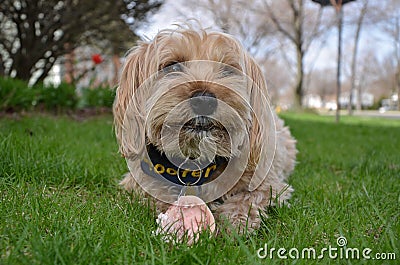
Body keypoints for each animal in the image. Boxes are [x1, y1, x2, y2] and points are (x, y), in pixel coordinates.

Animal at [112, 26, 296, 231]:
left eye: (227, 70)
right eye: (173, 66)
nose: (204, 101)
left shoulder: (269, 183)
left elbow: (250, 197)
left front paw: (234, 222)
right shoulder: (137, 181)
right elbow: (152, 192)